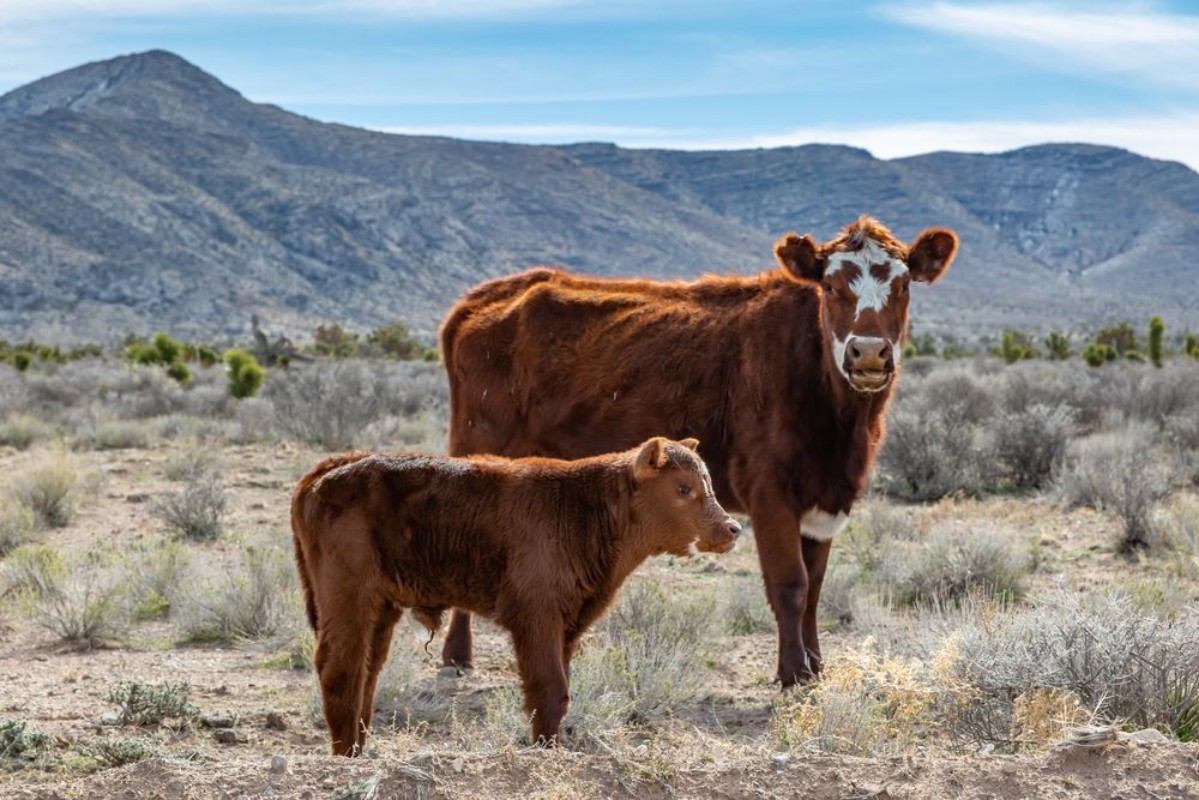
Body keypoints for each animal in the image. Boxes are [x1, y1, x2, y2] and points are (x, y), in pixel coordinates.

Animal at [291, 437, 740, 756]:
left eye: (708, 484)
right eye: (683, 488)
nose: (732, 529)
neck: (583, 508)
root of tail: (332, 468)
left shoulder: (568, 622)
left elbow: (558, 691)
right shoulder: (536, 617)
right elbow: (549, 688)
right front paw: (545, 751)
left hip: (381, 606)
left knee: (368, 669)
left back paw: (359, 750)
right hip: (347, 596)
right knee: (341, 668)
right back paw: (346, 756)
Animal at [438, 216, 957, 687]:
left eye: (904, 285)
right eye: (830, 286)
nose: (868, 353)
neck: (840, 423)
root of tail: (480, 297)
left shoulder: (823, 499)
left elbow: (815, 589)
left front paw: (815, 666)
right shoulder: (770, 493)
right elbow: (791, 585)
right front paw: (792, 672)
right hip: (477, 448)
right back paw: (457, 656)